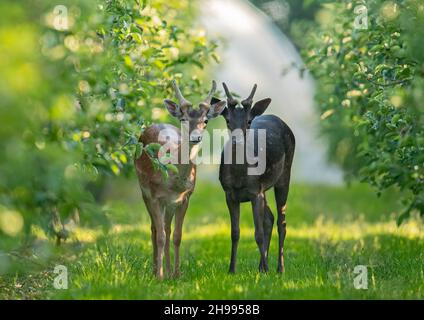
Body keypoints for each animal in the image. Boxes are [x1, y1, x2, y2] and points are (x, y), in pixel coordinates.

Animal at [136, 80, 227, 278]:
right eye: (184, 119)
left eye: (205, 120)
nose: (196, 137)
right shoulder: (154, 196)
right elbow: (160, 236)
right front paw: (159, 276)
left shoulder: (185, 198)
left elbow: (177, 235)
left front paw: (176, 274)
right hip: (144, 191)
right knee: (155, 229)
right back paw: (156, 270)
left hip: (169, 204)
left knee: (167, 229)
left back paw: (168, 270)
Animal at [215, 82, 294, 272]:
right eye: (228, 121)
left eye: (248, 122)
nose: (237, 141)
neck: (239, 178)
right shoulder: (230, 193)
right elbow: (235, 233)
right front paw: (231, 269)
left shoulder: (254, 192)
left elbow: (257, 233)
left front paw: (266, 268)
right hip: (263, 187)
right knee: (270, 218)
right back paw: (261, 266)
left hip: (284, 174)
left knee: (281, 222)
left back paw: (279, 268)